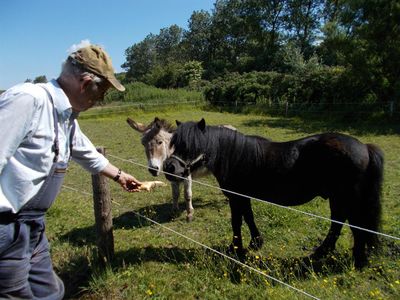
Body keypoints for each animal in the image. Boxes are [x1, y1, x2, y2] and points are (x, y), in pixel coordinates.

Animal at [164, 118, 386, 268]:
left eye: (192, 145)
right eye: (174, 144)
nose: (170, 168)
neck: (234, 155)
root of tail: (364, 147)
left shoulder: (236, 198)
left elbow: (237, 221)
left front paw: (236, 248)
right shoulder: (243, 197)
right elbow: (248, 217)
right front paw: (255, 242)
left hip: (347, 199)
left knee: (354, 226)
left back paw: (358, 260)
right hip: (339, 199)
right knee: (338, 223)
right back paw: (321, 253)